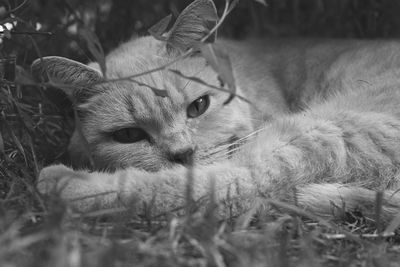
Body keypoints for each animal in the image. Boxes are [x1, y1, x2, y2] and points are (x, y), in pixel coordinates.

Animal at [32, 3, 400, 224]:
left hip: (321, 131)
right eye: (129, 135)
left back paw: (61, 184)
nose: (182, 153)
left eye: (198, 107)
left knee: (230, 185)